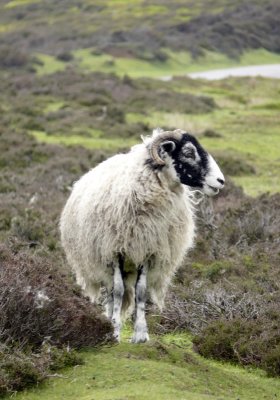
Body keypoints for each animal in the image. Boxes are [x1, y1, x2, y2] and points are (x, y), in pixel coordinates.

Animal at [60, 129, 224, 344]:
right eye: (188, 152)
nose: (221, 181)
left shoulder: (148, 251)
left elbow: (141, 292)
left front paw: (140, 334)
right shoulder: (116, 251)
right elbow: (118, 291)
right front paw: (114, 331)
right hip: (103, 261)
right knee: (111, 292)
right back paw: (109, 321)